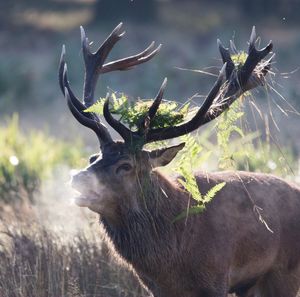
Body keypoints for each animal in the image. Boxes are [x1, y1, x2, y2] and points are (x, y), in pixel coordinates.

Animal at [57, 23, 300, 296]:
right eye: (93, 157)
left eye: (126, 165)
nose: (77, 178)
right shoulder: (155, 287)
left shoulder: (216, 278)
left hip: (284, 272)